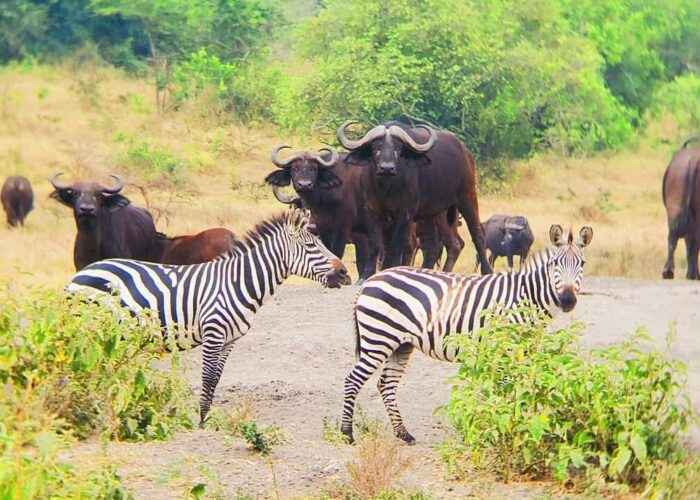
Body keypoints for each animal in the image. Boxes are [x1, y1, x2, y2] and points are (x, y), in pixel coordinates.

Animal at [68, 209, 348, 424]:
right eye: (311, 245)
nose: (344, 273)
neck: (238, 282)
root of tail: (81, 273)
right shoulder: (213, 334)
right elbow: (207, 378)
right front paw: (200, 422)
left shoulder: (229, 341)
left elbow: (215, 381)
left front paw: (207, 419)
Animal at [336, 119, 490, 280]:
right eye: (375, 147)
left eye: (398, 148)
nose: (387, 168)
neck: (386, 187)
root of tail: (465, 152)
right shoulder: (371, 210)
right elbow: (377, 244)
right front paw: (367, 275)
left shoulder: (405, 212)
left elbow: (396, 243)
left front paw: (392, 268)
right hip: (437, 213)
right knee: (444, 244)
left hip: (467, 196)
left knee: (477, 235)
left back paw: (486, 271)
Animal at [342, 225, 592, 444]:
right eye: (556, 263)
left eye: (582, 263)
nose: (568, 300)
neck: (526, 295)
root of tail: (369, 282)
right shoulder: (504, 345)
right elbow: (505, 389)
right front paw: (504, 428)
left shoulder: (524, 348)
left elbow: (522, 387)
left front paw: (521, 425)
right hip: (379, 339)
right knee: (353, 380)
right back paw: (347, 434)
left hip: (401, 343)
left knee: (386, 385)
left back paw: (404, 434)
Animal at [660, 135, 700, 280]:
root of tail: (693, 160)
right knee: (694, 241)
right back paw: (693, 274)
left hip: (674, 208)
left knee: (673, 237)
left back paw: (668, 271)